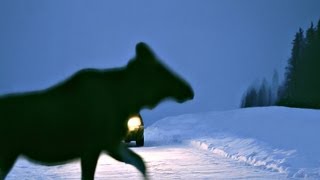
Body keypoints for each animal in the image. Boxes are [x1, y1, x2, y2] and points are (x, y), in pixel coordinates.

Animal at [0, 41, 195, 179]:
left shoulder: (110, 144)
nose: (188, 89)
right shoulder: (93, 147)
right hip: (7, 153)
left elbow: (140, 163)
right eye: (160, 70)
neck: (127, 99)